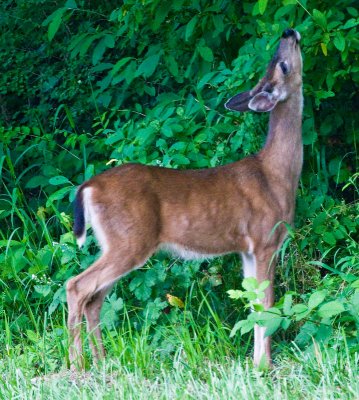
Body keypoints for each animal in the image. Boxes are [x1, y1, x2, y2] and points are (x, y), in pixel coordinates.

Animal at [67, 28, 304, 368]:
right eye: (282, 64)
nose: (289, 32)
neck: (276, 173)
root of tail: (88, 187)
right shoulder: (265, 239)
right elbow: (264, 304)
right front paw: (264, 365)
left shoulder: (246, 249)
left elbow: (251, 302)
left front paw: (255, 362)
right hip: (130, 240)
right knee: (77, 286)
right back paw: (77, 364)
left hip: (115, 243)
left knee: (94, 298)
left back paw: (101, 361)